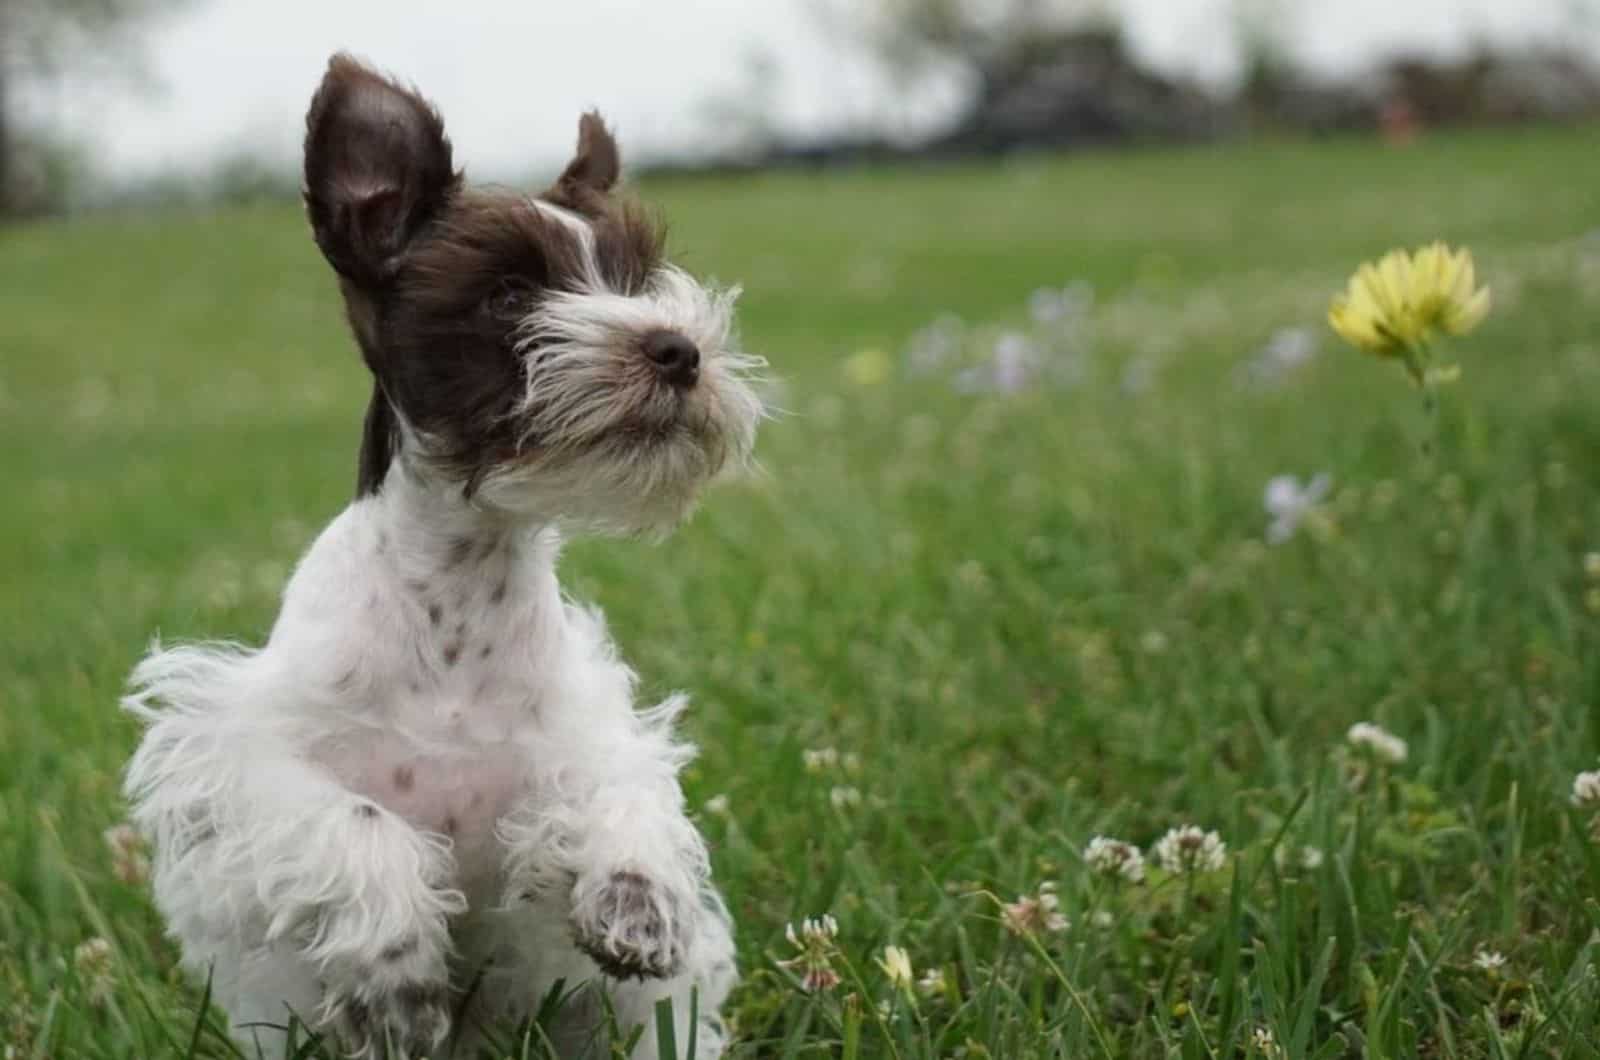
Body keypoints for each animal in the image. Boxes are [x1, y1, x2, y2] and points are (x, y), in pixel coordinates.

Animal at [121, 54, 758, 1056]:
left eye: (639, 279)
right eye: (507, 296)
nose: (678, 348)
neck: (458, 599)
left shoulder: (589, 733)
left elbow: (621, 788)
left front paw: (637, 897)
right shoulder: (243, 757)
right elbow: (358, 821)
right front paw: (398, 983)